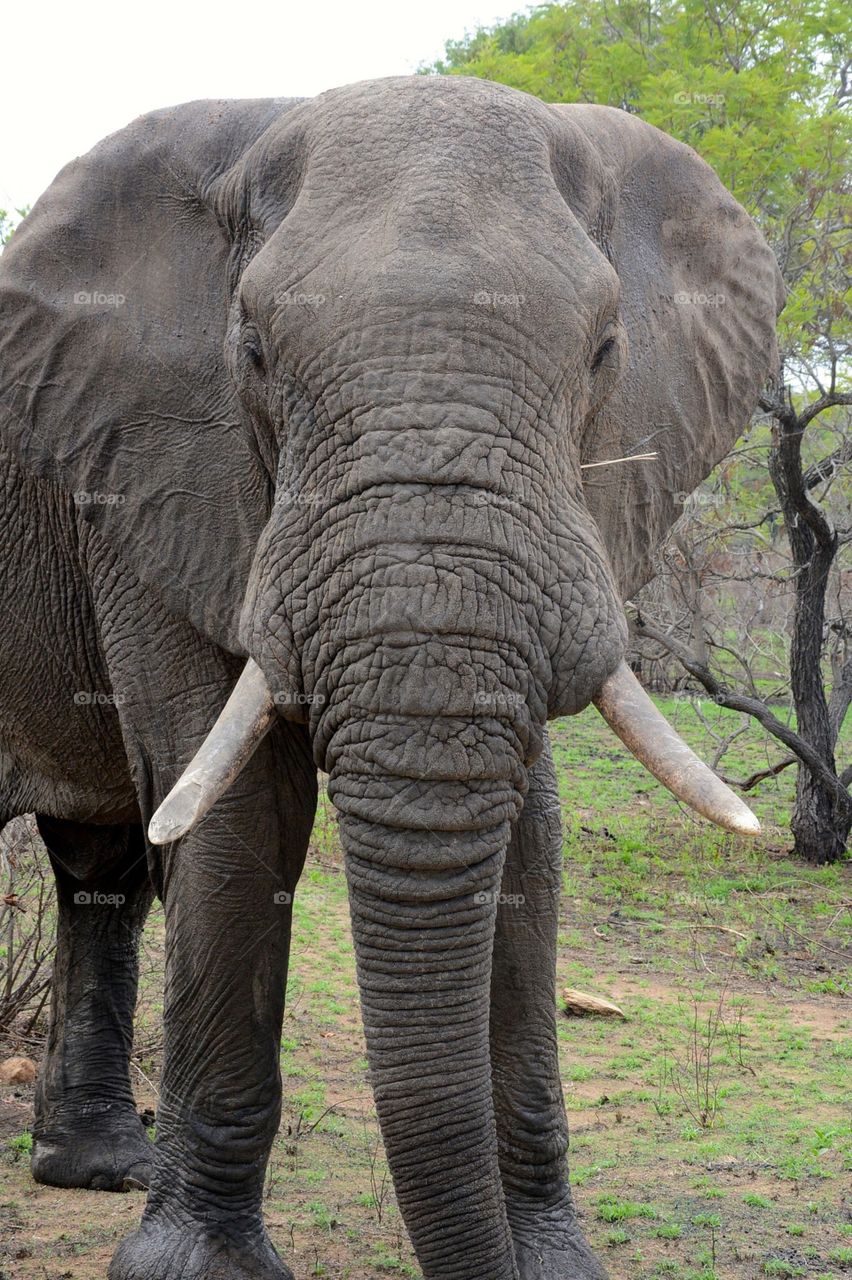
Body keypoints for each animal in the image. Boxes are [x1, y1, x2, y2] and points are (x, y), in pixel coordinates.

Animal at [0, 75, 783, 1280]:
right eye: (254, 354)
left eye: (606, 351)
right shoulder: (142, 479)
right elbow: (237, 812)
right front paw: (198, 1272)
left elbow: (529, 832)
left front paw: (552, 1264)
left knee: (99, 862)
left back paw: (100, 1169)